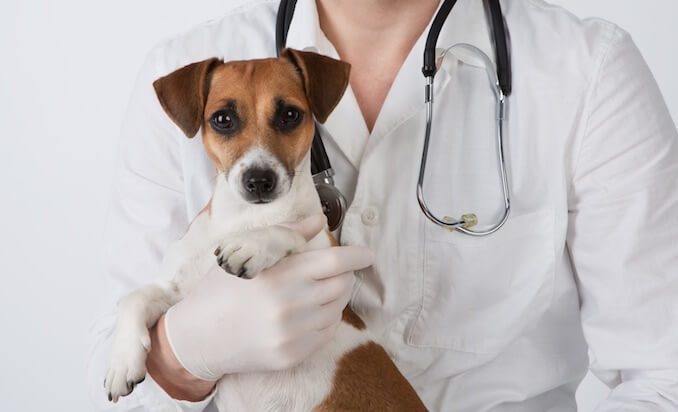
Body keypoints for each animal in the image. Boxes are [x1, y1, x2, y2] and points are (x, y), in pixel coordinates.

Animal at [104, 49, 428, 412]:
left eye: (289, 114)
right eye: (222, 119)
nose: (259, 180)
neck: (247, 218)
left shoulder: (327, 259)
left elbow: (289, 232)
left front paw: (252, 245)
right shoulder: (178, 293)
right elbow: (133, 298)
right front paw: (122, 360)